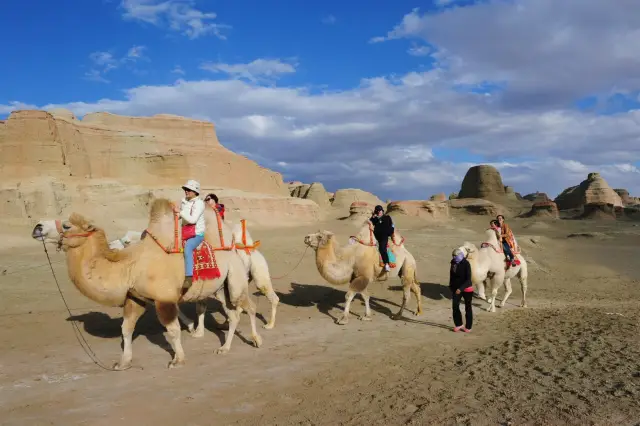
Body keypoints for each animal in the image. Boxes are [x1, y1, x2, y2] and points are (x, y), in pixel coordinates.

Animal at [31, 199, 262, 370]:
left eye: (67, 225)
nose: (37, 227)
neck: (129, 267)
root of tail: (234, 248)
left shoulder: (164, 299)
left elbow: (172, 330)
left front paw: (177, 360)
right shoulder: (136, 298)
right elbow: (126, 329)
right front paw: (123, 362)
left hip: (235, 280)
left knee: (248, 307)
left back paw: (256, 340)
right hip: (221, 288)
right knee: (233, 314)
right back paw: (225, 348)